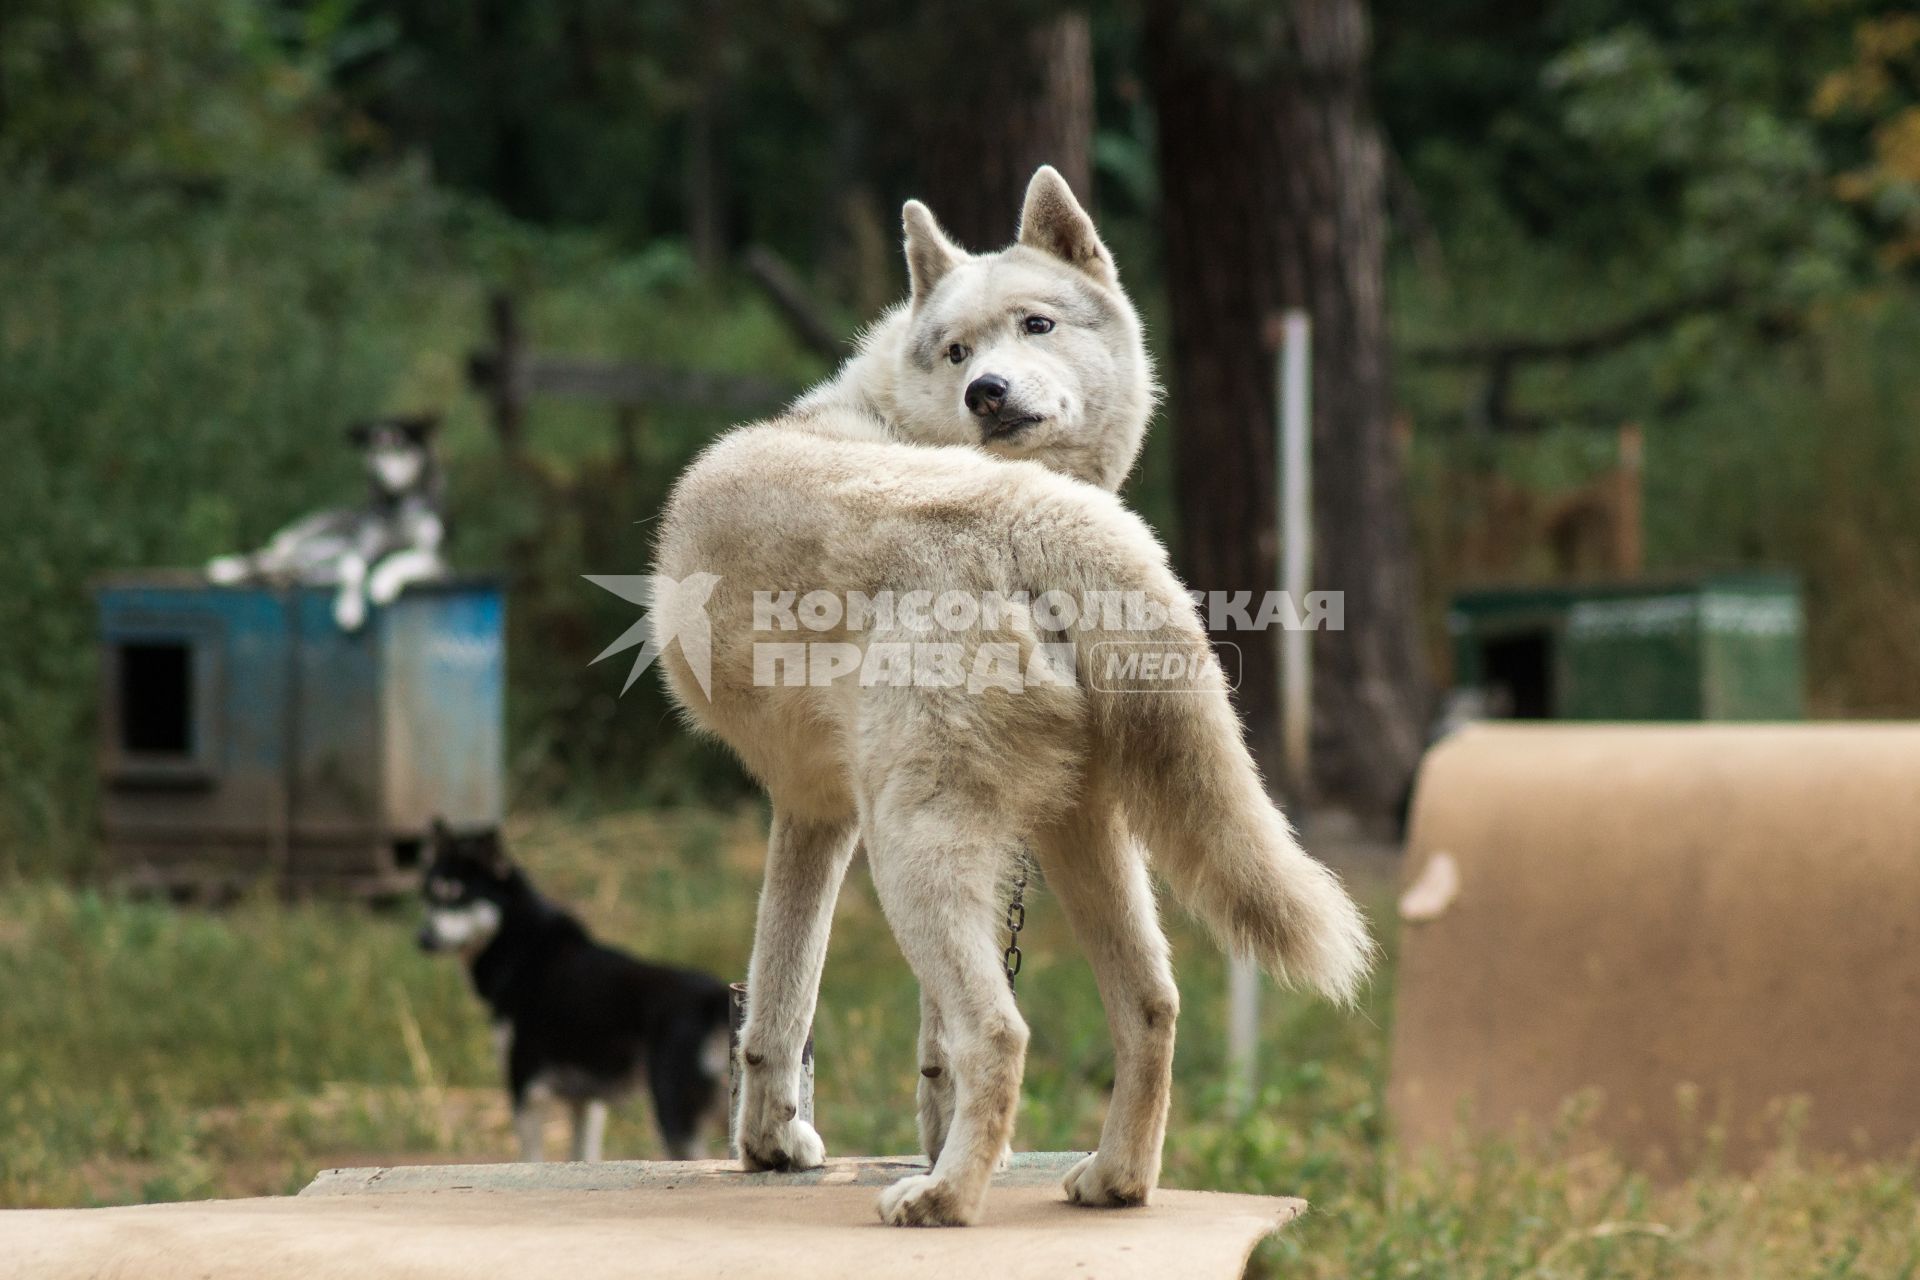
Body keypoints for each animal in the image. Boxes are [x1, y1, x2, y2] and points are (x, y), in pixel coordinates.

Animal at [652, 165, 1374, 1228]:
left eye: (1036, 325)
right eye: (956, 350)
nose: (984, 392)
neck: (890, 414)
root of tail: (1046, 518)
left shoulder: (818, 816)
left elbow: (779, 1005)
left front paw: (775, 1146)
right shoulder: (827, 813)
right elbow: (900, 1046)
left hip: (914, 850)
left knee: (1001, 1030)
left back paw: (944, 1199)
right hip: (1081, 843)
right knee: (1151, 1007)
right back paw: (1112, 1181)